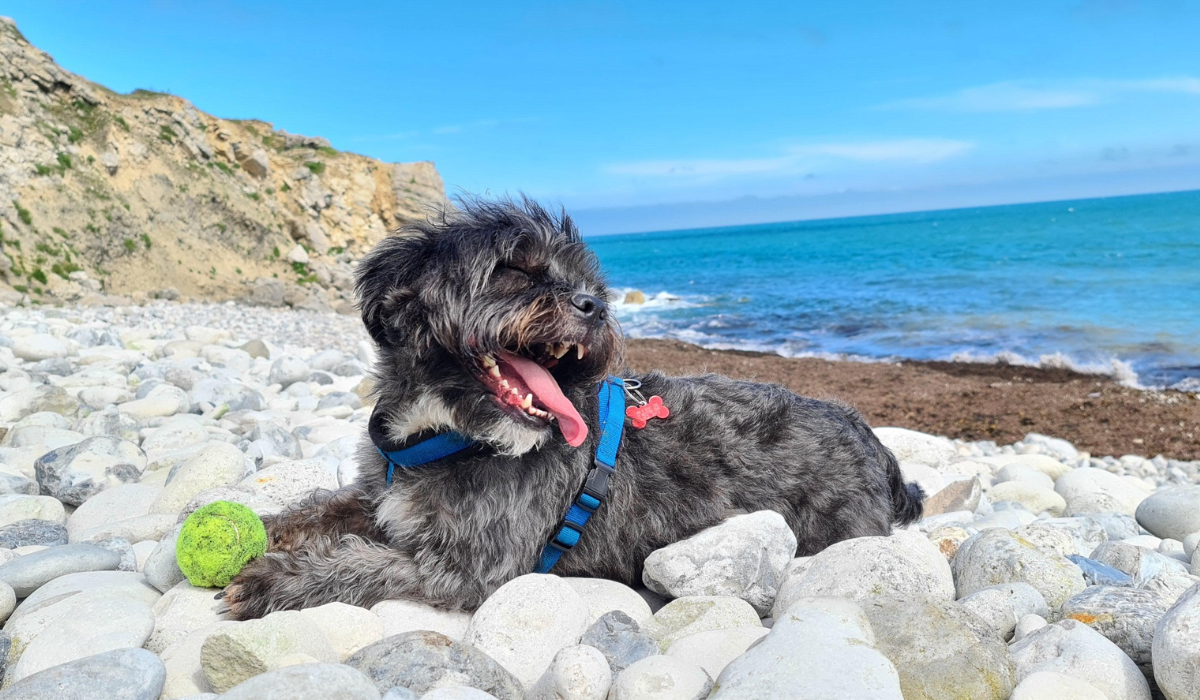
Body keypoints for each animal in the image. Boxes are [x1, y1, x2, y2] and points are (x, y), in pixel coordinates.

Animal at [220, 196, 921, 619]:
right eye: (513, 270)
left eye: (589, 284)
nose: (595, 306)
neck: (441, 434)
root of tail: (876, 445)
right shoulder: (379, 492)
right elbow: (323, 507)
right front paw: (264, 525)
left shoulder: (470, 569)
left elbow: (363, 564)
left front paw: (275, 580)